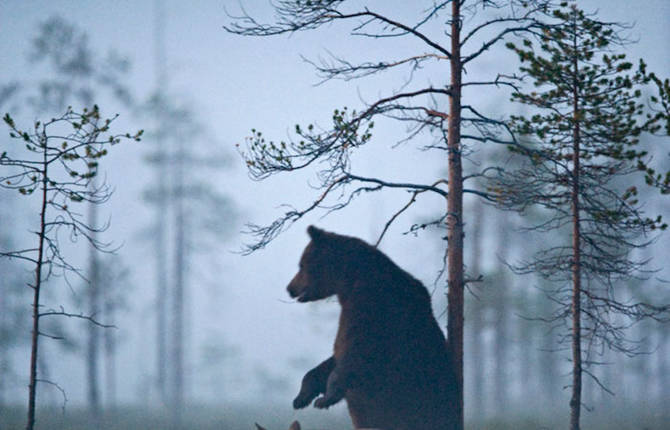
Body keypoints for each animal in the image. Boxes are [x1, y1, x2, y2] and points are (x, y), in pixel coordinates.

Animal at [286, 227, 460, 428]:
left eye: (301, 265)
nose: (289, 288)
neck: (350, 283)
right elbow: (334, 357)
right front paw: (301, 397)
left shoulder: (371, 308)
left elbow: (355, 352)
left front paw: (325, 399)